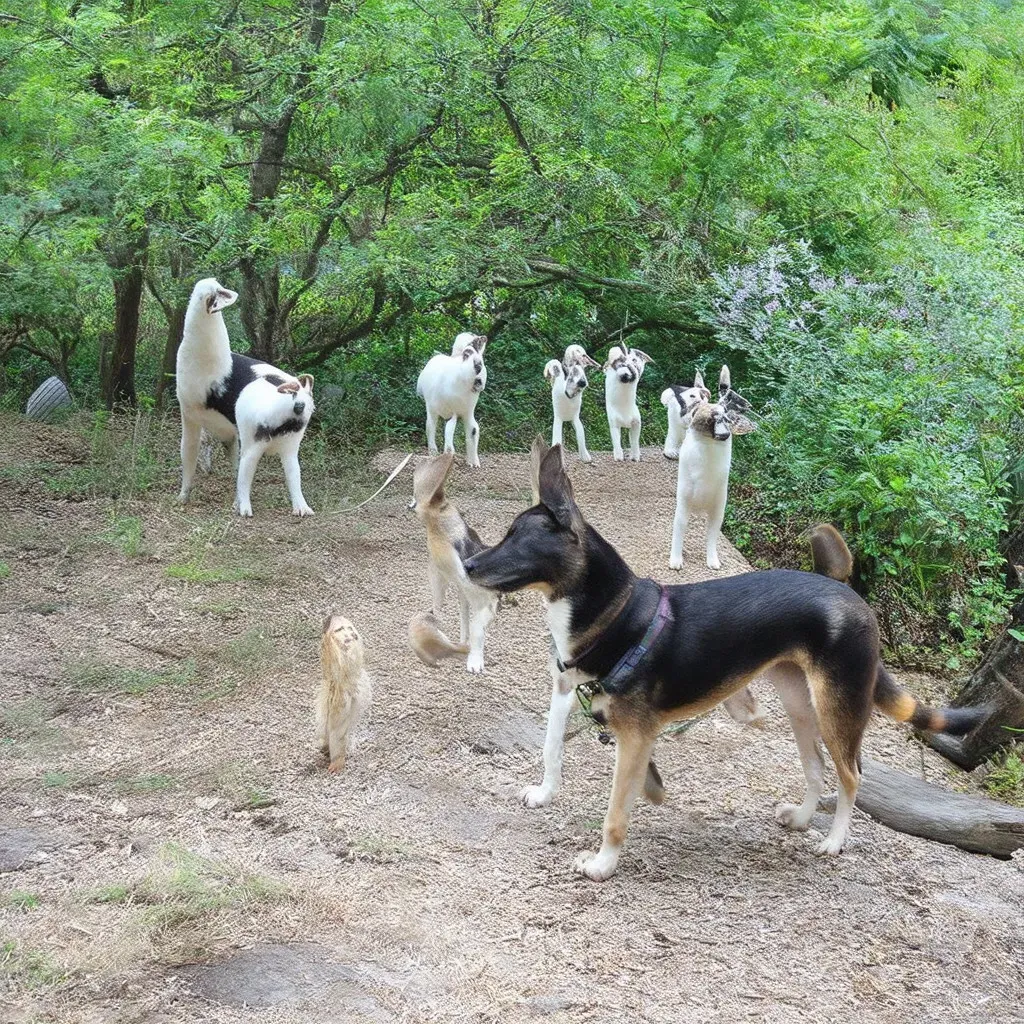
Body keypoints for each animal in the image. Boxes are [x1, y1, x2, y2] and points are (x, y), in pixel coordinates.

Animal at [176, 276, 313, 516]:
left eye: (208, 294)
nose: (301, 407)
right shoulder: (225, 429)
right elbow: (232, 465)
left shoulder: (189, 414)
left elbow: (189, 453)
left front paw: (183, 498)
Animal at [419, 331, 491, 468]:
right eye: (466, 354)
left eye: (482, 359)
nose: (479, 381)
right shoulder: (452, 412)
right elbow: (449, 430)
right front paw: (449, 454)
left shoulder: (467, 412)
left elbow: (473, 430)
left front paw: (474, 464)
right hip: (431, 409)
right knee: (430, 427)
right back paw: (434, 453)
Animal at [466, 440, 983, 880]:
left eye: (516, 538)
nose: (468, 564)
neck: (615, 613)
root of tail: (849, 592)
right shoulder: (565, 690)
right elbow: (551, 749)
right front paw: (545, 793)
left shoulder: (635, 740)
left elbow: (614, 813)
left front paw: (603, 864)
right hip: (799, 702)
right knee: (815, 765)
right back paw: (801, 817)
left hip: (838, 708)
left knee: (851, 775)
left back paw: (834, 841)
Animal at [667, 366, 757, 577]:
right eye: (707, 419)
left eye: (728, 419)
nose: (723, 434)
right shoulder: (682, 506)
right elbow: (678, 531)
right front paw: (676, 560)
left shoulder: (718, 510)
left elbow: (712, 538)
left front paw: (712, 561)